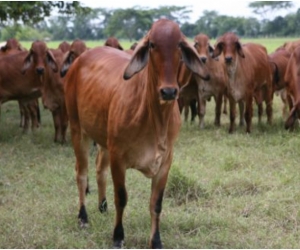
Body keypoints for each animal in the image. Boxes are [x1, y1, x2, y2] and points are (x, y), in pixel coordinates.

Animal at [63, 18, 209, 248]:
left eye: (179, 45)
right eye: (152, 45)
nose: (169, 91)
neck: (156, 119)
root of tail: (79, 61)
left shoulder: (165, 162)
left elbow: (156, 203)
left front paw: (156, 241)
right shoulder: (118, 158)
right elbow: (121, 198)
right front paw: (117, 236)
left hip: (103, 140)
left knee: (99, 169)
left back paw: (102, 206)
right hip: (78, 131)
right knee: (81, 173)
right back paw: (83, 216)